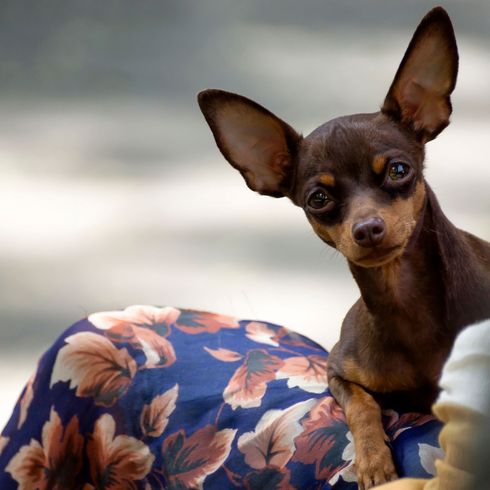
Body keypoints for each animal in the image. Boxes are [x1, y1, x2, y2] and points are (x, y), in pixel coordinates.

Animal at [196, 7, 490, 490]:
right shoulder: (336, 371)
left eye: (398, 170)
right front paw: (372, 460)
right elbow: (362, 405)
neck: (403, 300)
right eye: (319, 198)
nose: (367, 229)